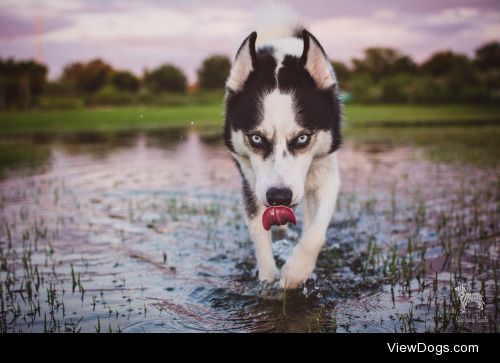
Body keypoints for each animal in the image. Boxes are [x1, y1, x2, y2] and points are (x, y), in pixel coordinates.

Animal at [225, 23, 342, 290]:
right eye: (256, 138)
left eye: (302, 138)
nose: (279, 197)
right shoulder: (252, 184)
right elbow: (259, 235)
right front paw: (267, 281)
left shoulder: (327, 171)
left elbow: (315, 233)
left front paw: (296, 272)